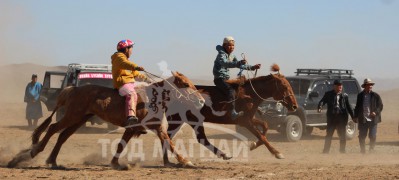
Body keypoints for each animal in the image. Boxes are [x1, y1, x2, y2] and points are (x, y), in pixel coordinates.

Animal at [7, 72, 205, 170]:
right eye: (185, 84)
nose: (202, 101)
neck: (151, 98)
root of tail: (73, 89)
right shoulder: (135, 127)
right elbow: (125, 144)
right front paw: (186, 162)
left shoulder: (153, 127)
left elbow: (166, 142)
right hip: (72, 116)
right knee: (53, 128)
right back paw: (34, 152)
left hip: (79, 119)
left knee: (63, 135)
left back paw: (53, 160)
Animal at [162, 64, 296, 164]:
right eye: (285, 86)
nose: (294, 106)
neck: (249, 95)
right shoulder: (245, 122)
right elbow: (261, 136)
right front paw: (277, 153)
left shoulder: (250, 119)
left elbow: (265, 126)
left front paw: (253, 145)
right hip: (183, 120)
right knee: (169, 136)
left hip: (186, 120)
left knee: (189, 138)